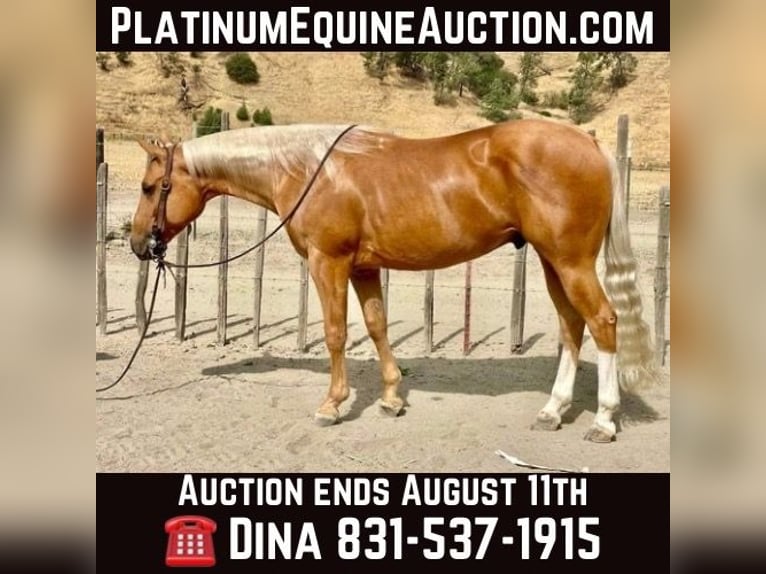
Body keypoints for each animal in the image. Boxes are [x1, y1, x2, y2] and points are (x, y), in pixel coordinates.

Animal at [131, 119, 656, 443]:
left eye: (149, 186)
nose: (138, 243)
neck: (308, 169)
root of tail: (588, 143)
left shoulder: (328, 262)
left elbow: (336, 333)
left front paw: (332, 405)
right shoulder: (363, 267)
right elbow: (377, 326)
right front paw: (390, 399)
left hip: (572, 262)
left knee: (603, 322)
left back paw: (604, 421)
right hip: (552, 263)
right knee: (572, 327)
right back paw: (553, 410)